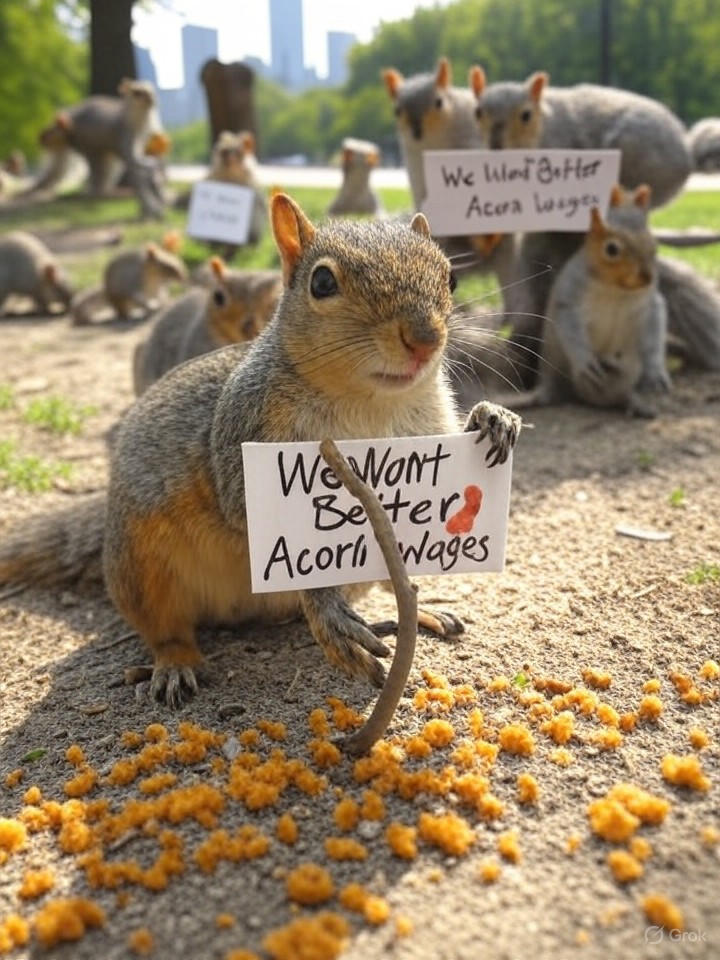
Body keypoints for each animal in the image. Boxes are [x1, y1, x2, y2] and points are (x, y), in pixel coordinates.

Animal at [503, 185, 670, 417]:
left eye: (655, 245)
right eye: (611, 249)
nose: (647, 277)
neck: (614, 289)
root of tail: (553, 389)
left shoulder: (649, 303)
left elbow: (655, 325)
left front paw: (655, 372)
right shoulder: (570, 294)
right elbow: (570, 327)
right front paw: (585, 361)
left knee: (619, 394)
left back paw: (636, 399)